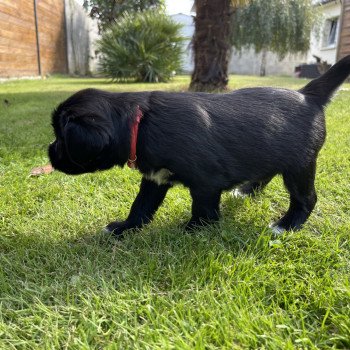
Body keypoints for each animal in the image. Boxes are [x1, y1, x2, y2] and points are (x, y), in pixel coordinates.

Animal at [48, 55, 350, 235]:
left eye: (62, 138)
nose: (49, 151)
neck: (139, 124)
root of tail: (308, 95)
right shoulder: (155, 178)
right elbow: (141, 206)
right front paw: (125, 227)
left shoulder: (206, 182)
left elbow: (203, 210)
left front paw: (193, 230)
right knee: (265, 173)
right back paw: (246, 191)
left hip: (299, 165)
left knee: (305, 198)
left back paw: (286, 226)